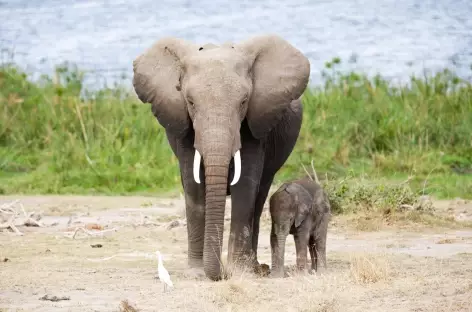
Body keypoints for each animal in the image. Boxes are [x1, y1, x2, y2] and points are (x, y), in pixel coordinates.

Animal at [132, 34, 310, 280]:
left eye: (243, 102)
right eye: (190, 102)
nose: (222, 273)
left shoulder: (254, 126)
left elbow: (245, 184)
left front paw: (239, 271)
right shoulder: (184, 128)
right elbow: (193, 186)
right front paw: (197, 272)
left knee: (259, 196)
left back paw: (255, 267)